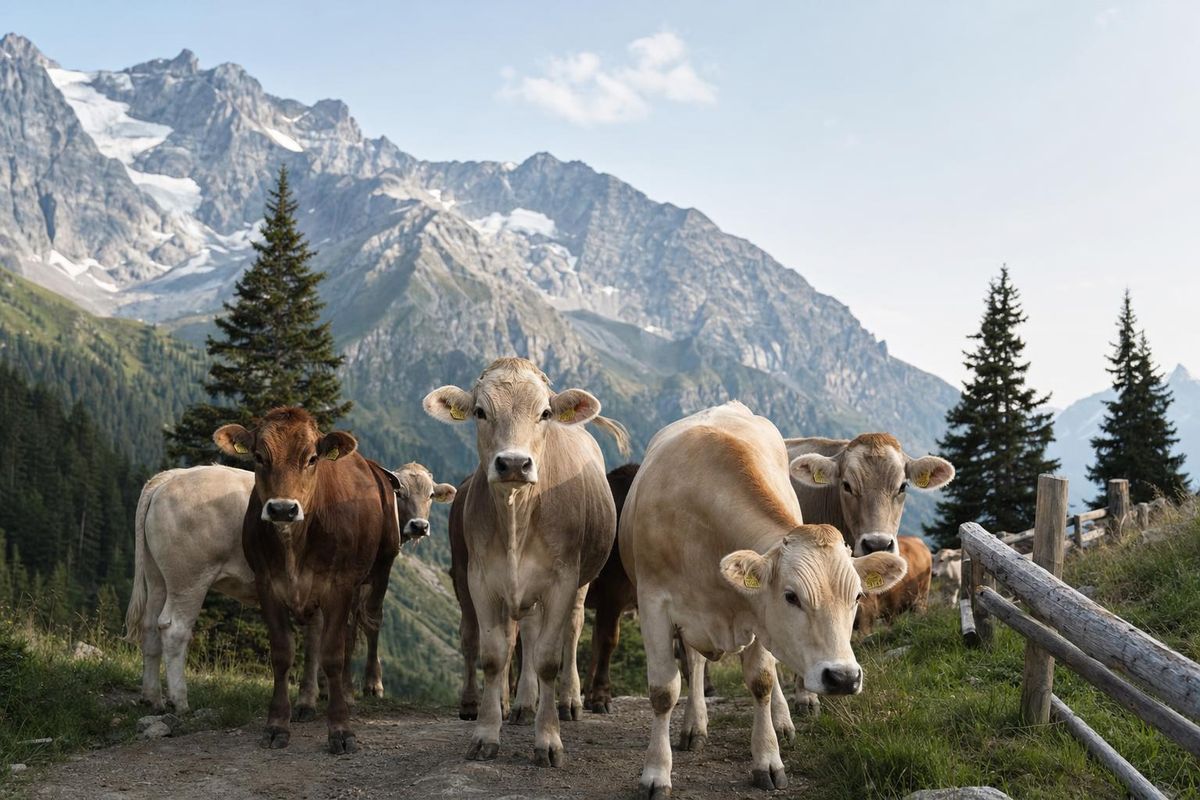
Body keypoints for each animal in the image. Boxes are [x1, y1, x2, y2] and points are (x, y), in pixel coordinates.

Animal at [213, 407, 402, 754]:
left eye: (312, 458)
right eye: (259, 456)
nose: (282, 509)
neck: (293, 541)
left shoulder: (339, 585)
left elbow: (333, 653)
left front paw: (340, 729)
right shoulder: (268, 585)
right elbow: (283, 652)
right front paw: (277, 724)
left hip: (381, 564)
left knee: (370, 622)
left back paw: (370, 684)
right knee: (323, 633)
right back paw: (313, 699)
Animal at [424, 357, 628, 767]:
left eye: (545, 413)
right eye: (480, 411)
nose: (514, 463)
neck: (518, 514)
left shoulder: (562, 581)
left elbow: (548, 657)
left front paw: (548, 740)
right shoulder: (481, 581)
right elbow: (494, 655)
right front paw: (486, 734)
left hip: (581, 582)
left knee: (572, 630)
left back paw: (569, 701)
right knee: (527, 633)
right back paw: (522, 704)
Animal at [619, 402, 907, 796]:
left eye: (858, 596)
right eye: (791, 596)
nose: (844, 677)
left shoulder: (755, 612)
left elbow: (762, 682)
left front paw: (768, 761)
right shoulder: (653, 604)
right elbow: (664, 691)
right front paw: (656, 773)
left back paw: (782, 722)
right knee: (694, 665)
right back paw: (695, 725)